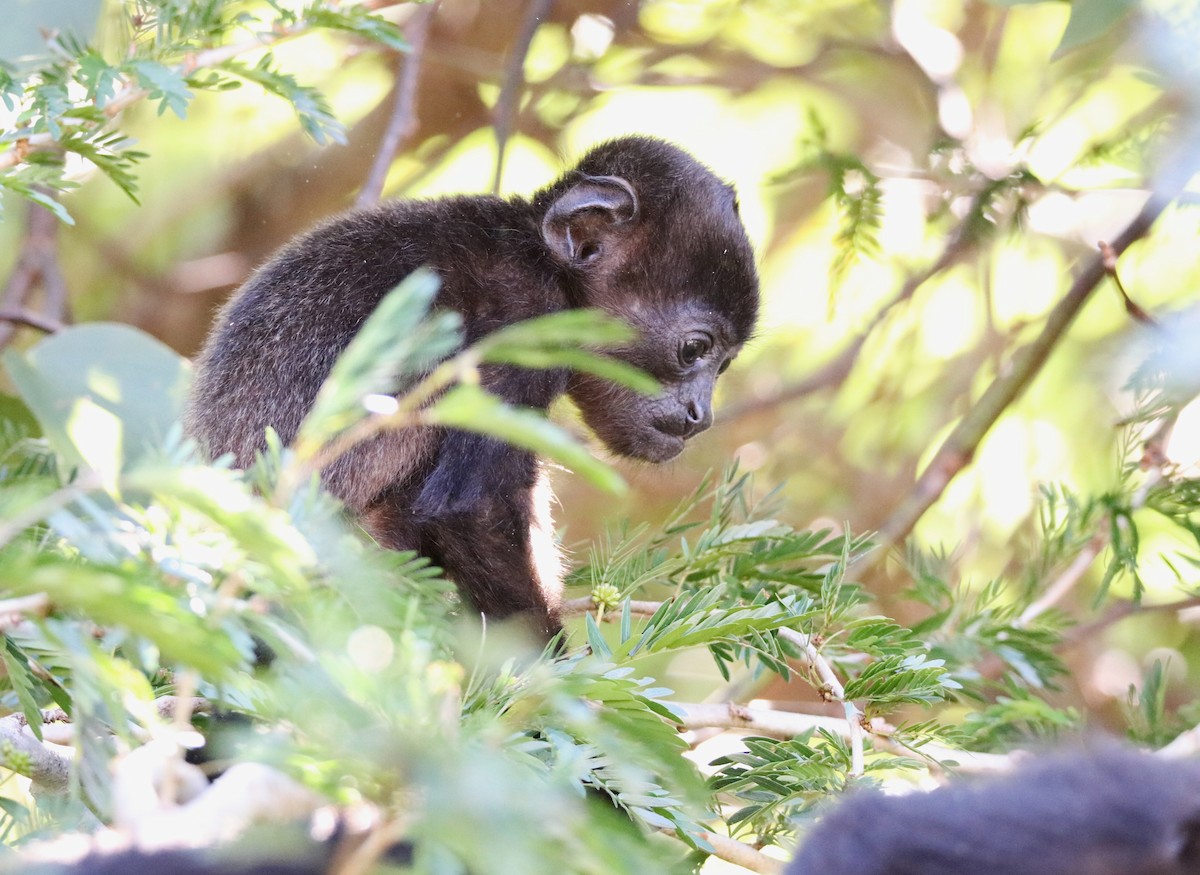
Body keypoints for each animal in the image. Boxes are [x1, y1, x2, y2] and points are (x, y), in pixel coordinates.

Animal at [185, 136, 759, 641]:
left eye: (725, 365)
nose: (701, 413)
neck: (541, 258)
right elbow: (470, 510)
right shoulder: (519, 320)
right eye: (694, 349)